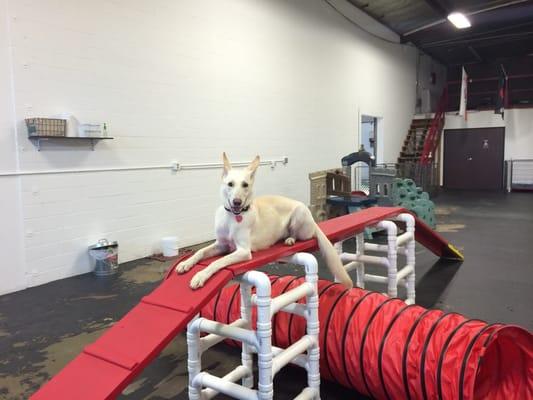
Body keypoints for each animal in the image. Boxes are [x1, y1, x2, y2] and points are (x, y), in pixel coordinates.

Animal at [176, 152, 354, 290]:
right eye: (230, 184)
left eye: (245, 185)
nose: (237, 202)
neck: (232, 217)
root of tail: (314, 221)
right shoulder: (221, 244)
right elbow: (200, 252)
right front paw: (186, 264)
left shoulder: (243, 251)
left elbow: (218, 262)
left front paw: (200, 276)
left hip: (300, 213)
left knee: (298, 234)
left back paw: (290, 239)